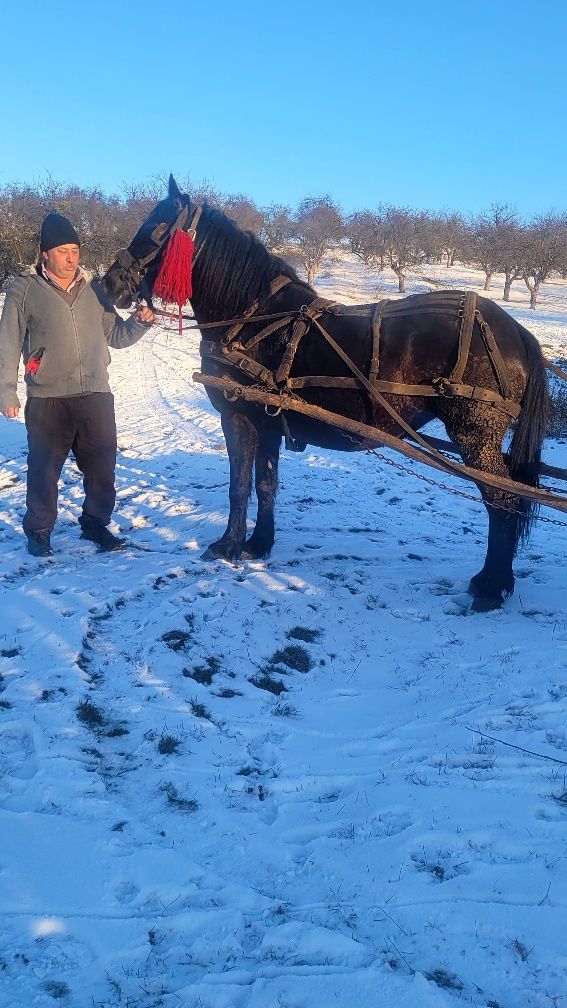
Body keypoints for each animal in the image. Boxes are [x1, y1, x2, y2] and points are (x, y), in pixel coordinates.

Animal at [102, 176, 548, 608]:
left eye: (157, 229)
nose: (109, 283)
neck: (252, 320)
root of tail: (517, 333)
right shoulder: (268, 422)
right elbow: (266, 483)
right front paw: (258, 545)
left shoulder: (238, 416)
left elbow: (238, 485)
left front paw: (227, 546)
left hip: (476, 436)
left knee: (501, 501)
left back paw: (491, 585)